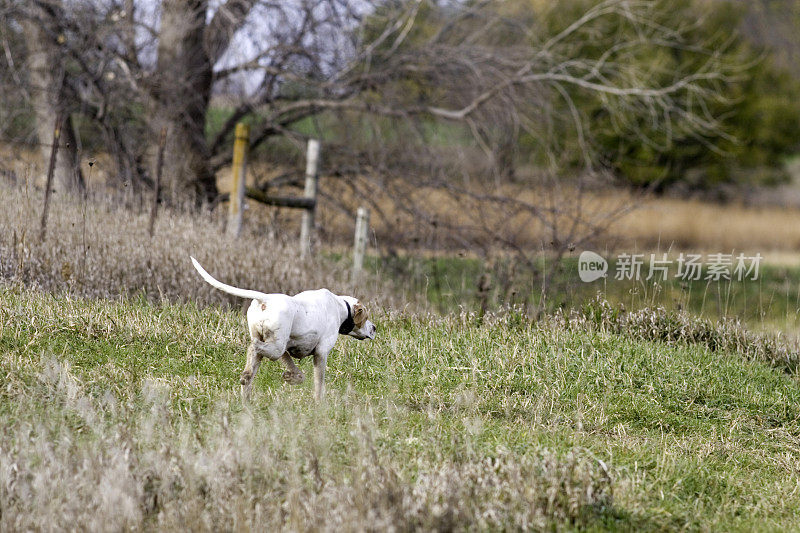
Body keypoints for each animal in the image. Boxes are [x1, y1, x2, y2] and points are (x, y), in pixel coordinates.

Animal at [191, 256, 376, 400]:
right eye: (366, 317)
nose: (374, 327)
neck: (341, 307)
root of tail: (265, 299)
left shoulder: (287, 349)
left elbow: (297, 372)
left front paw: (293, 377)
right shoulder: (321, 353)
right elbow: (319, 383)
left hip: (274, 347)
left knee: (250, 370)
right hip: (274, 349)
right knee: (253, 347)